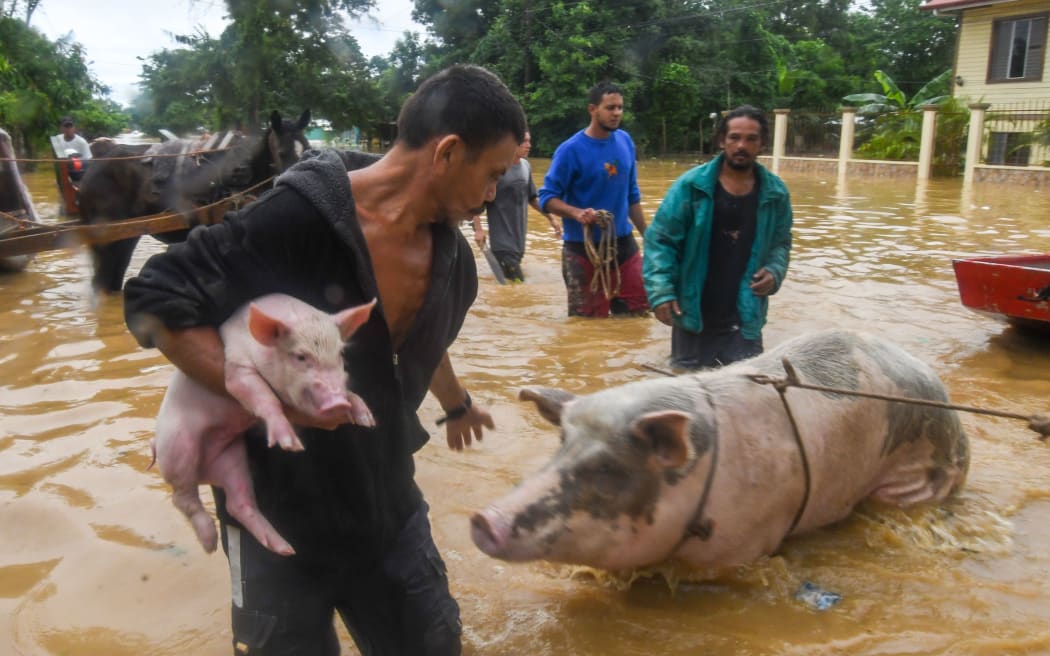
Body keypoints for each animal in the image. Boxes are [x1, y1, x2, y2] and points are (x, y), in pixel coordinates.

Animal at [152, 293, 373, 554]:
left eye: (339, 354)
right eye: (300, 356)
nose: (337, 403)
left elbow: (351, 391)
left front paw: (366, 419)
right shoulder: (236, 368)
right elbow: (264, 397)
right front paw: (290, 444)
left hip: (232, 456)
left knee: (238, 503)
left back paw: (285, 548)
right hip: (177, 447)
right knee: (182, 496)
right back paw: (210, 544)